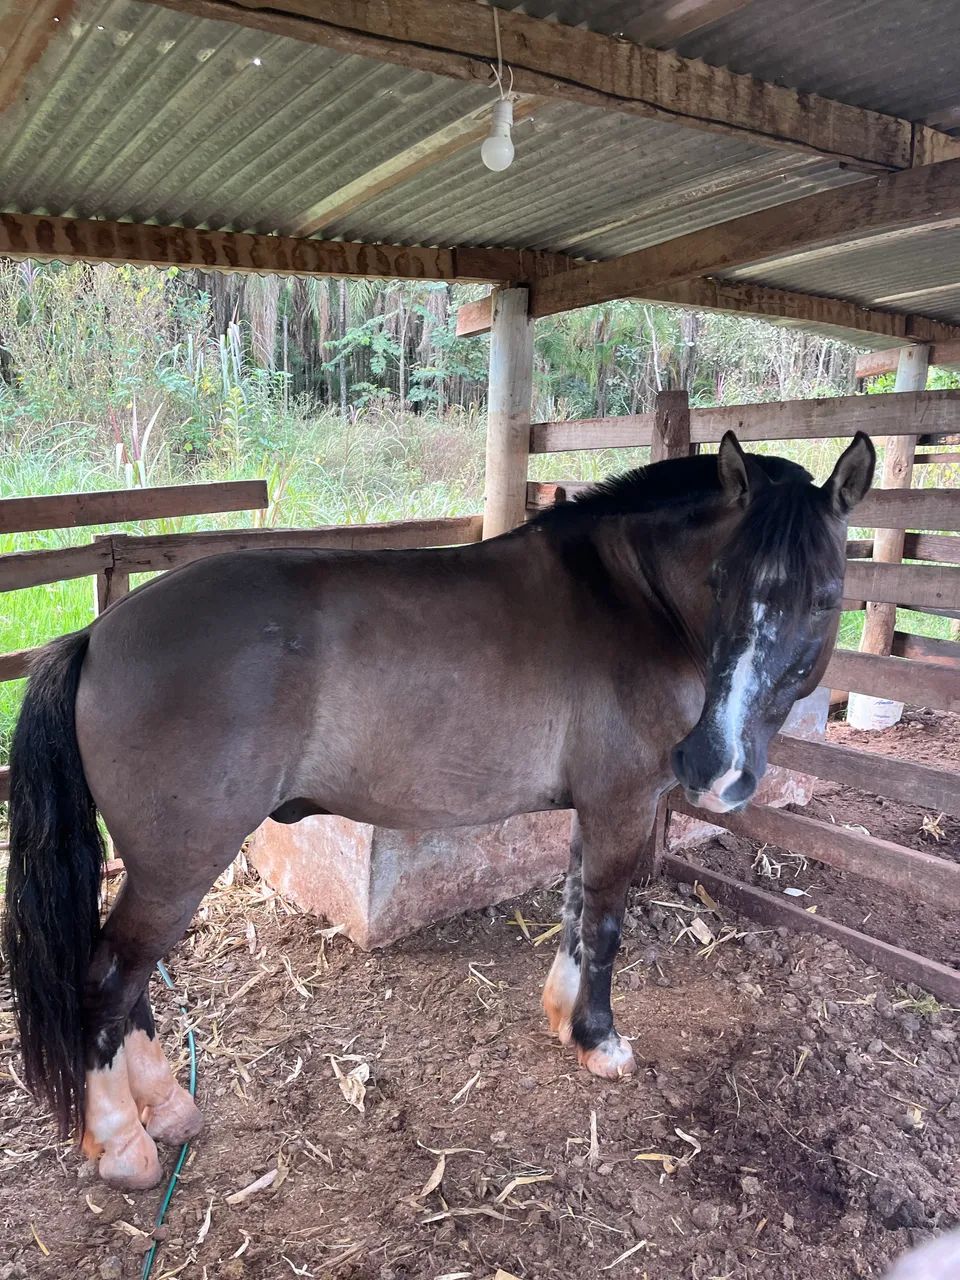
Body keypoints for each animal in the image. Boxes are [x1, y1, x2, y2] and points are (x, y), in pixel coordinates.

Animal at [2, 430, 875, 1190]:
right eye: (721, 580)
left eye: (826, 597)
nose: (714, 768)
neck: (632, 598)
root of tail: (96, 636)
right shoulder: (624, 803)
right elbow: (605, 924)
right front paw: (599, 1040)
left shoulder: (593, 806)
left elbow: (572, 906)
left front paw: (562, 1016)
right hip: (180, 866)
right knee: (106, 984)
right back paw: (124, 1144)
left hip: (158, 870)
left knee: (131, 986)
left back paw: (166, 1108)